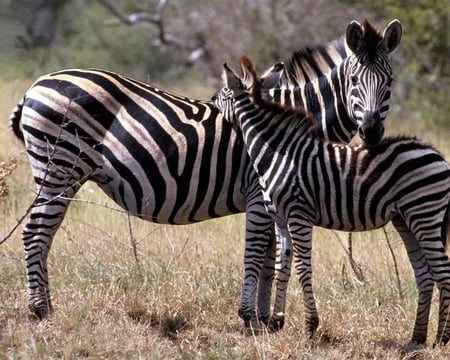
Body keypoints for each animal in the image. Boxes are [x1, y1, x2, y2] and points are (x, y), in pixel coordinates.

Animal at [8, 19, 400, 330]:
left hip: (62, 173)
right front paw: (251, 318)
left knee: (43, 234)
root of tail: (38, 84)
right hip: (59, 167)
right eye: (354, 80)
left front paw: (265, 319)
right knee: (35, 233)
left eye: (390, 81)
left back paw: (44, 305)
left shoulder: (274, 199)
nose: (371, 133)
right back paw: (41, 310)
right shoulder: (259, 195)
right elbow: (256, 254)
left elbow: (270, 257)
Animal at [213, 54, 450, 344]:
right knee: (426, 275)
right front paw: (277, 321)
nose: (210, 99)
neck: (275, 151)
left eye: (224, 93)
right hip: (406, 219)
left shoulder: (299, 214)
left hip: (425, 215)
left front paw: (310, 326)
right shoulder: (280, 218)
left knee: (443, 272)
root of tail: (438, 155)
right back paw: (417, 337)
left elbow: (304, 268)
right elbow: (283, 266)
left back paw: (442, 338)